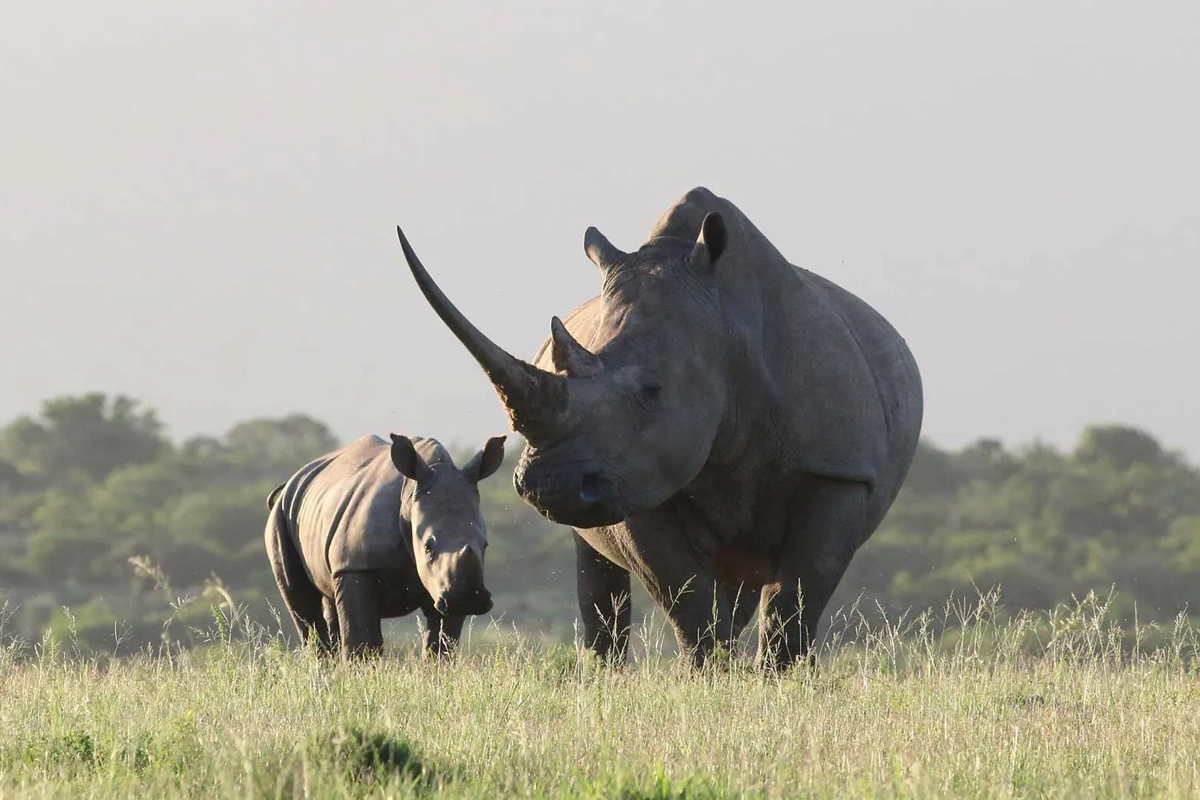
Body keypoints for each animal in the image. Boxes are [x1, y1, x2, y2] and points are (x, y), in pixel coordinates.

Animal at [264, 432, 506, 659]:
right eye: (428, 547)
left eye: (485, 546)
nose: (468, 599)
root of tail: (291, 481)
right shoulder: (354, 565)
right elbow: (362, 639)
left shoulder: (445, 584)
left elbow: (442, 643)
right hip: (280, 516)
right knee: (303, 606)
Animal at [396, 186, 923, 670]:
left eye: (652, 392)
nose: (548, 487)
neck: (727, 329)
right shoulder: (637, 478)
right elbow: (684, 595)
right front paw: (710, 678)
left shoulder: (837, 469)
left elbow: (797, 596)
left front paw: (781, 681)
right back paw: (604, 674)